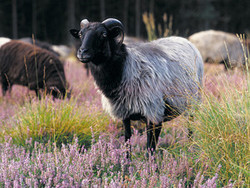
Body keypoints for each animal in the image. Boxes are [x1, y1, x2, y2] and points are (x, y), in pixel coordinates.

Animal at [69, 18, 204, 153]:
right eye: (80, 34)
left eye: (104, 34)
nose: (82, 52)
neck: (125, 69)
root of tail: (184, 40)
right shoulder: (125, 114)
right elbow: (127, 141)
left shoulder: (154, 114)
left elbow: (150, 147)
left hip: (193, 101)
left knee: (190, 126)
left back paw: (190, 148)